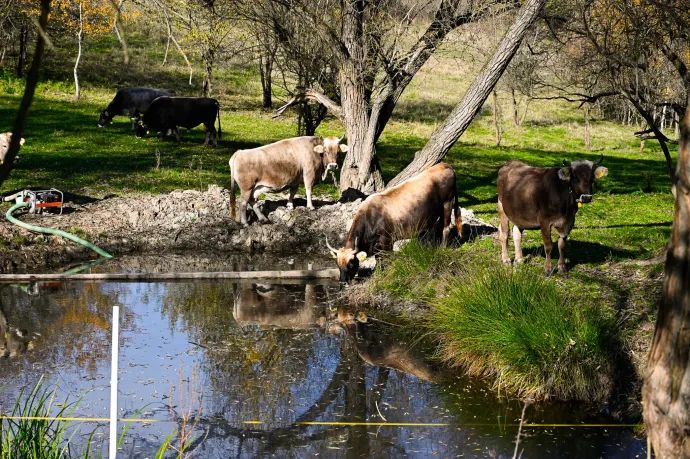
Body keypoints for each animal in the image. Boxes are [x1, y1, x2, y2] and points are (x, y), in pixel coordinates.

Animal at [324, 162, 462, 284]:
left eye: (351, 264)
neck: (370, 217)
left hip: (447, 203)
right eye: (338, 264)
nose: (342, 283)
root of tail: (445, 165)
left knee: (446, 227)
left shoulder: (387, 241)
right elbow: (378, 260)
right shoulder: (377, 247)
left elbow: (386, 260)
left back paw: (443, 248)